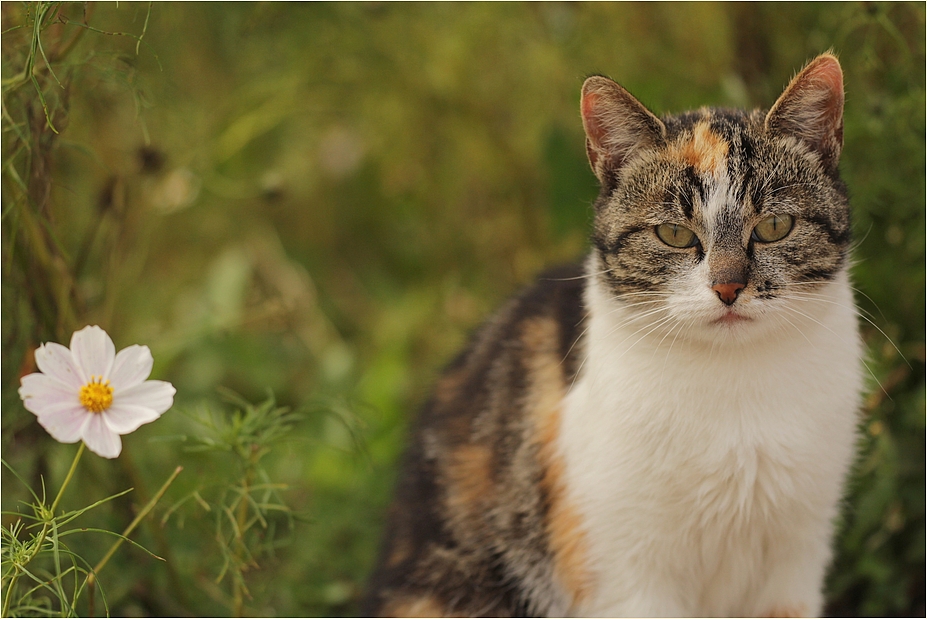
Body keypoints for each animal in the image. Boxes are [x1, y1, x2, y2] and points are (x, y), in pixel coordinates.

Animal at [360, 54, 864, 619]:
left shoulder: (797, 556)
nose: (728, 287)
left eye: (775, 226)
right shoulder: (627, 572)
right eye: (674, 234)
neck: (734, 394)